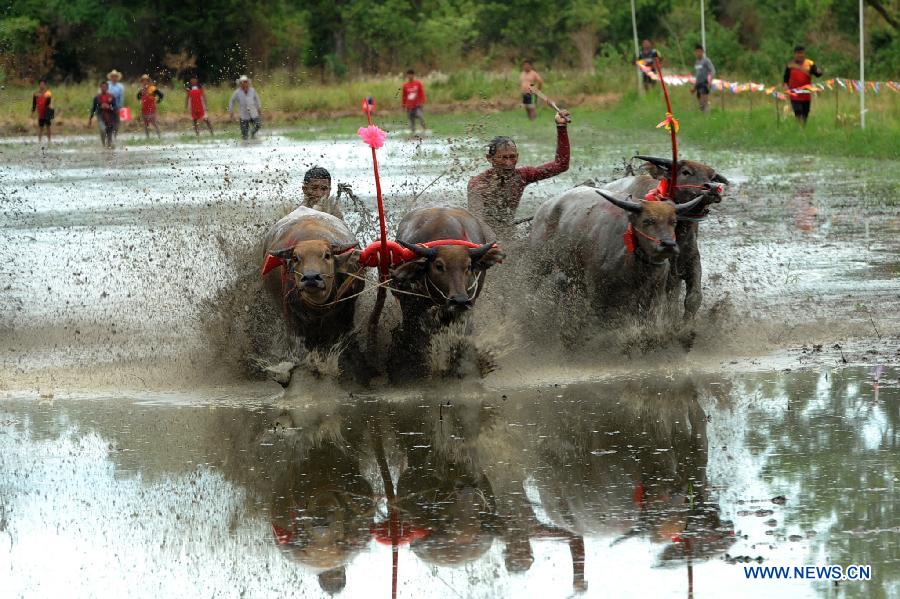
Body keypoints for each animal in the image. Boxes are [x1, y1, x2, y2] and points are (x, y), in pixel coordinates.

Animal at [260, 206, 362, 350]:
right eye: (295, 258)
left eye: (327, 255)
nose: (311, 278)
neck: (318, 311)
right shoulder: (296, 323)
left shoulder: (347, 313)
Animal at [528, 188, 704, 318]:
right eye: (647, 221)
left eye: (673, 221)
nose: (668, 245)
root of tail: (547, 206)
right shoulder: (600, 297)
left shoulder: (653, 297)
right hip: (538, 260)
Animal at [600, 157, 728, 322]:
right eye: (685, 171)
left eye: (712, 177)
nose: (712, 188)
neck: (679, 232)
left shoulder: (690, 260)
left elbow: (694, 298)